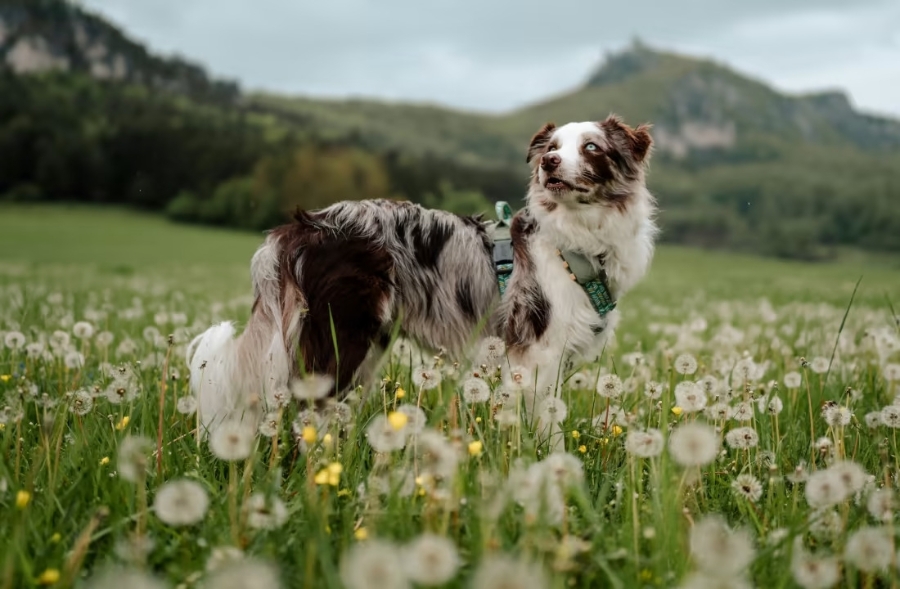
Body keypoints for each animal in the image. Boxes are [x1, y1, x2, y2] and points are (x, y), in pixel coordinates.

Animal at [186, 115, 656, 430]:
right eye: (552, 146)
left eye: (592, 147)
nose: (551, 163)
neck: (575, 238)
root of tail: (301, 227)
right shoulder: (538, 354)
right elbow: (548, 431)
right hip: (338, 342)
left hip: (364, 348)